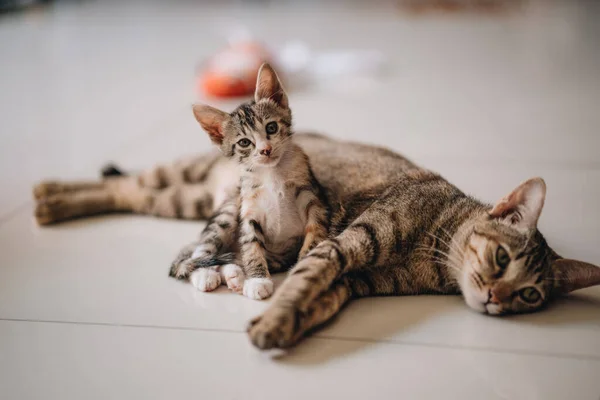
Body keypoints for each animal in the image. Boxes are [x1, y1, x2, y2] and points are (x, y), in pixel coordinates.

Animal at [32, 106, 600, 350]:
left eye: (530, 295)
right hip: (184, 177)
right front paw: (271, 321)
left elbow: (315, 299)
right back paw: (47, 195)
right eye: (502, 259)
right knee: (127, 183)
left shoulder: (353, 279)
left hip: (184, 199)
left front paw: (286, 325)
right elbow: (302, 282)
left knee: (129, 192)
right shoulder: (344, 245)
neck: (433, 253)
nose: (497, 301)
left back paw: (52, 204)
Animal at [171, 64, 330, 298]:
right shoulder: (249, 208)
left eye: (271, 127)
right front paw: (257, 280)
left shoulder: (312, 197)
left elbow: (315, 232)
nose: (266, 149)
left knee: (230, 258)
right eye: (244, 142)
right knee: (202, 251)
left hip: (277, 256)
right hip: (228, 210)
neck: (272, 173)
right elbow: (250, 243)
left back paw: (234, 276)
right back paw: (206, 274)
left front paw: (303, 264)